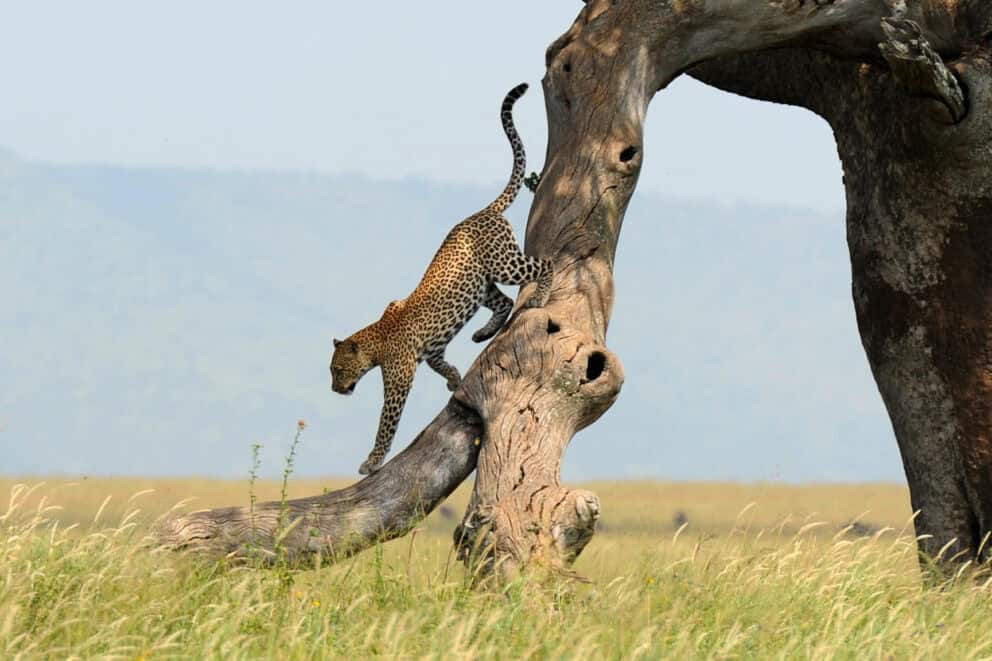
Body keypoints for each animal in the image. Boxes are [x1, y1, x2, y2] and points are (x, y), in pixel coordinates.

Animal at [330, 82, 552, 475]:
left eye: (339, 369)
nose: (334, 389)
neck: (375, 341)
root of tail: (481, 212)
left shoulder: (399, 380)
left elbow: (386, 424)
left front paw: (372, 462)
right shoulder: (432, 351)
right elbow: (442, 364)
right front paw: (454, 379)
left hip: (505, 264)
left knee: (545, 264)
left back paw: (541, 295)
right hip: (479, 285)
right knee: (504, 302)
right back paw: (482, 333)